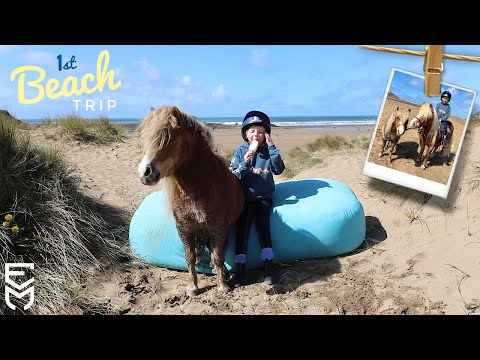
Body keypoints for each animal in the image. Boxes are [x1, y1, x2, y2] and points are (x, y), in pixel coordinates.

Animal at [138, 105, 244, 296]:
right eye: (148, 138)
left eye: (171, 138)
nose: (144, 173)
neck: (198, 188)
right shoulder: (184, 229)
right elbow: (190, 257)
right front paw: (192, 287)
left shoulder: (218, 228)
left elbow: (218, 256)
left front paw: (223, 285)